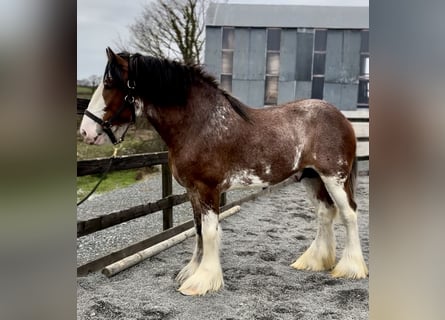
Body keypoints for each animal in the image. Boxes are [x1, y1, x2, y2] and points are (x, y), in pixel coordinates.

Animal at [80, 48, 368, 298]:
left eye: (108, 83)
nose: (85, 132)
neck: (200, 123)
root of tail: (342, 118)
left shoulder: (208, 189)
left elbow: (209, 232)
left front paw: (202, 281)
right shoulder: (193, 191)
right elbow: (198, 230)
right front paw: (192, 272)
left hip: (334, 177)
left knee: (349, 214)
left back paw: (350, 268)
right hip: (311, 177)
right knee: (325, 213)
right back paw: (314, 261)